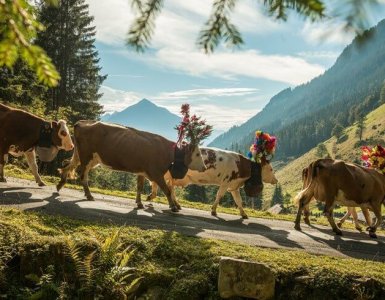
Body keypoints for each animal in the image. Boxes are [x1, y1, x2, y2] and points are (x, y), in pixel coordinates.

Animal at [55, 120, 206, 212]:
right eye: (198, 154)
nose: (204, 168)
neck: (170, 152)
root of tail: (82, 122)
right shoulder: (156, 173)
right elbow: (167, 190)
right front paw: (173, 207)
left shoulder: (142, 171)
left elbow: (139, 187)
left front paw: (139, 203)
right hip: (87, 157)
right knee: (82, 175)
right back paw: (88, 195)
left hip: (87, 158)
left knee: (68, 166)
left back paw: (60, 185)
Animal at [136, 146, 278, 218]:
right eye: (271, 169)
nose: (276, 180)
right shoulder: (226, 182)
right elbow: (219, 195)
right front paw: (213, 210)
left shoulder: (233, 185)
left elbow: (239, 201)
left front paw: (244, 214)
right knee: (157, 182)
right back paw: (152, 197)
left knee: (169, 188)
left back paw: (174, 203)